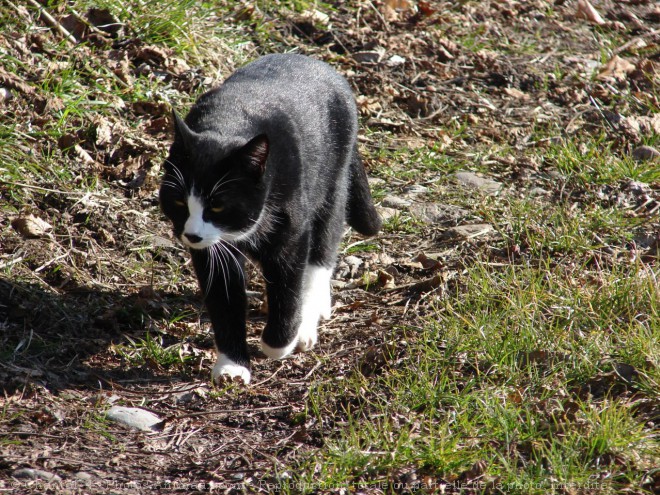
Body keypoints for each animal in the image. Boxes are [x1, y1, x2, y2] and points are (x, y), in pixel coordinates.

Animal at [158, 55, 382, 388]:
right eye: (178, 203)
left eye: (218, 205)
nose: (192, 236)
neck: (228, 124)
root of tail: (319, 63)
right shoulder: (213, 252)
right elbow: (224, 300)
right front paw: (232, 365)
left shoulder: (291, 232)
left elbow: (287, 285)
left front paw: (279, 343)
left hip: (333, 183)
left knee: (322, 251)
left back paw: (308, 319)